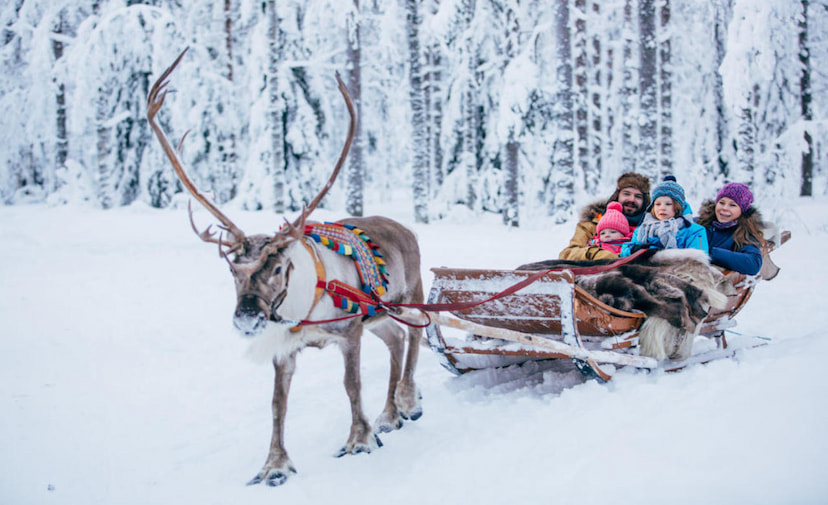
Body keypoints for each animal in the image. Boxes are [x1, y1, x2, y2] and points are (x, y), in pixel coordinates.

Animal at [147, 49, 424, 487]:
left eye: (277, 268)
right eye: (233, 270)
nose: (246, 318)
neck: (302, 309)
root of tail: (405, 227)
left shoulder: (349, 332)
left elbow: (351, 385)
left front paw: (359, 440)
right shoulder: (284, 348)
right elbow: (278, 404)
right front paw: (274, 465)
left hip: (410, 295)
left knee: (417, 335)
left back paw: (408, 400)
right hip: (378, 316)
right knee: (396, 338)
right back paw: (388, 414)